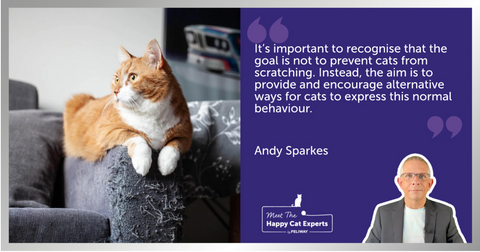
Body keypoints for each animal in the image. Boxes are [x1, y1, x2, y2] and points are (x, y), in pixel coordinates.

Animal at [62, 39, 192, 177]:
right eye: (117, 79)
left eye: (133, 77)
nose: (115, 91)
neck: (150, 113)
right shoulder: (105, 131)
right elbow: (135, 136)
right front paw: (143, 162)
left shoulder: (187, 137)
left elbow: (174, 144)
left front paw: (166, 164)